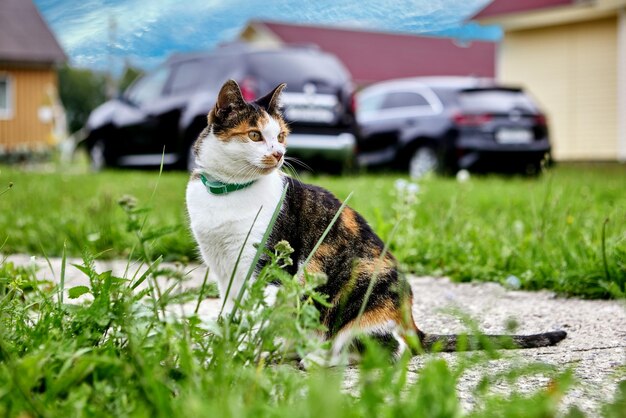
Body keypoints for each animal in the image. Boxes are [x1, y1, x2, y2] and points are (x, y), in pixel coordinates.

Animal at [185, 80, 564, 360]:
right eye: (254, 135)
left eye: (279, 136)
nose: (278, 154)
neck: (227, 191)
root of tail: (412, 322)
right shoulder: (224, 271)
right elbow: (230, 311)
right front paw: (222, 347)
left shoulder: (268, 267)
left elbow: (257, 314)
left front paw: (244, 352)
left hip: (360, 281)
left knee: (387, 349)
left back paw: (316, 357)